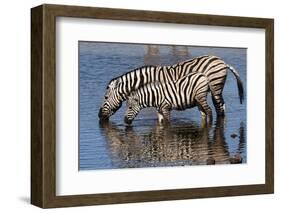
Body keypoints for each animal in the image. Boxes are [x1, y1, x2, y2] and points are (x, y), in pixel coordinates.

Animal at [98, 55, 243, 120]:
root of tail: (221, 61)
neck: (148, 80)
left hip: (215, 87)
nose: (99, 116)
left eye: (105, 97)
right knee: (222, 106)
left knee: (219, 107)